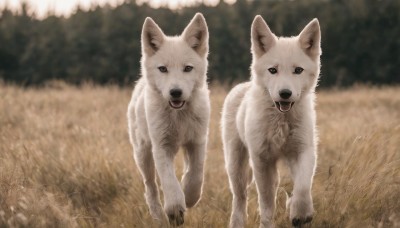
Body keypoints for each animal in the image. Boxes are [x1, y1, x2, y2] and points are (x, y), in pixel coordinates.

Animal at [127, 12, 209, 226]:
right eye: (163, 69)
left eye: (187, 68)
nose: (175, 92)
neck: (178, 116)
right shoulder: (161, 146)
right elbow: (169, 181)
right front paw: (175, 210)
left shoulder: (197, 141)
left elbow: (196, 175)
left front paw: (189, 197)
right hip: (143, 154)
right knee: (150, 187)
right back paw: (157, 215)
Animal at [222, 15, 322, 227]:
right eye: (273, 70)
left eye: (298, 70)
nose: (285, 94)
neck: (281, 122)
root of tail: (243, 86)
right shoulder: (261, 159)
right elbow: (266, 201)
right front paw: (268, 223)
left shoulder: (304, 150)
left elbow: (302, 186)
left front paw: (300, 213)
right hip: (236, 166)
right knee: (240, 197)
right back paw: (237, 222)